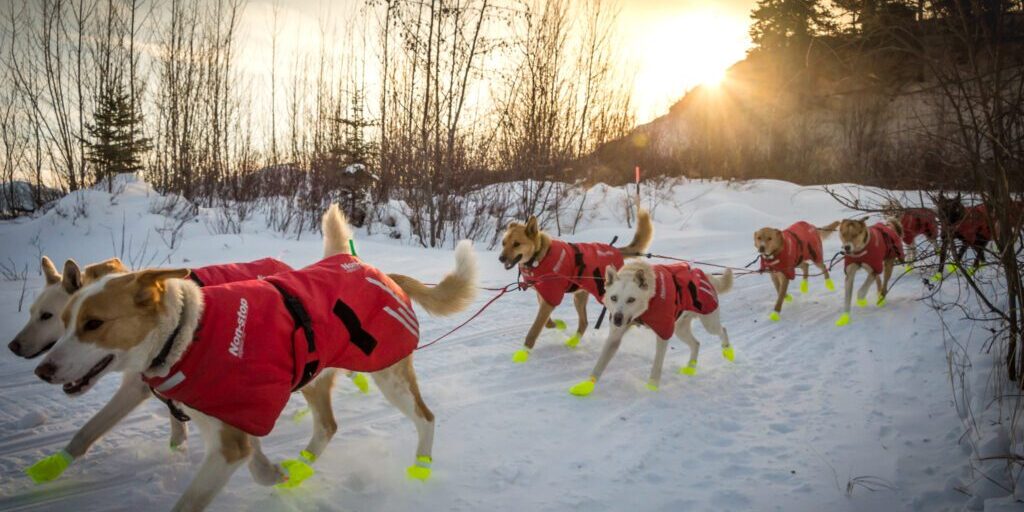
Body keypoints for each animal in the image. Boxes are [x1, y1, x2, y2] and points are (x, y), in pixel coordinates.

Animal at [34, 207, 477, 512]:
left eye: (93, 324)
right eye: (64, 319)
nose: (42, 369)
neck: (187, 334)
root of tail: (381, 273)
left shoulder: (228, 444)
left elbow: (197, 496)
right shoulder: (234, 422)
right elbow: (256, 460)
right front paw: (275, 473)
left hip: (388, 376)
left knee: (425, 418)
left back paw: (420, 467)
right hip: (314, 376)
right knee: (328, 426)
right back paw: (301, 467)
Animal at [497, 209, 655, 362]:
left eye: (516, 244)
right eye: (503, 243)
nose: (501, 258)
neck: (539, 257)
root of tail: (615, 249)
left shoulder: (551, 298)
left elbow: (534, 329)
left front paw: (523, 352)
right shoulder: (544, 296)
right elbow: (546, 322)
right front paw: (559, 324)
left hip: (604, 296)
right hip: (579, 298)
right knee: (584, 323)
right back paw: (573, 341)